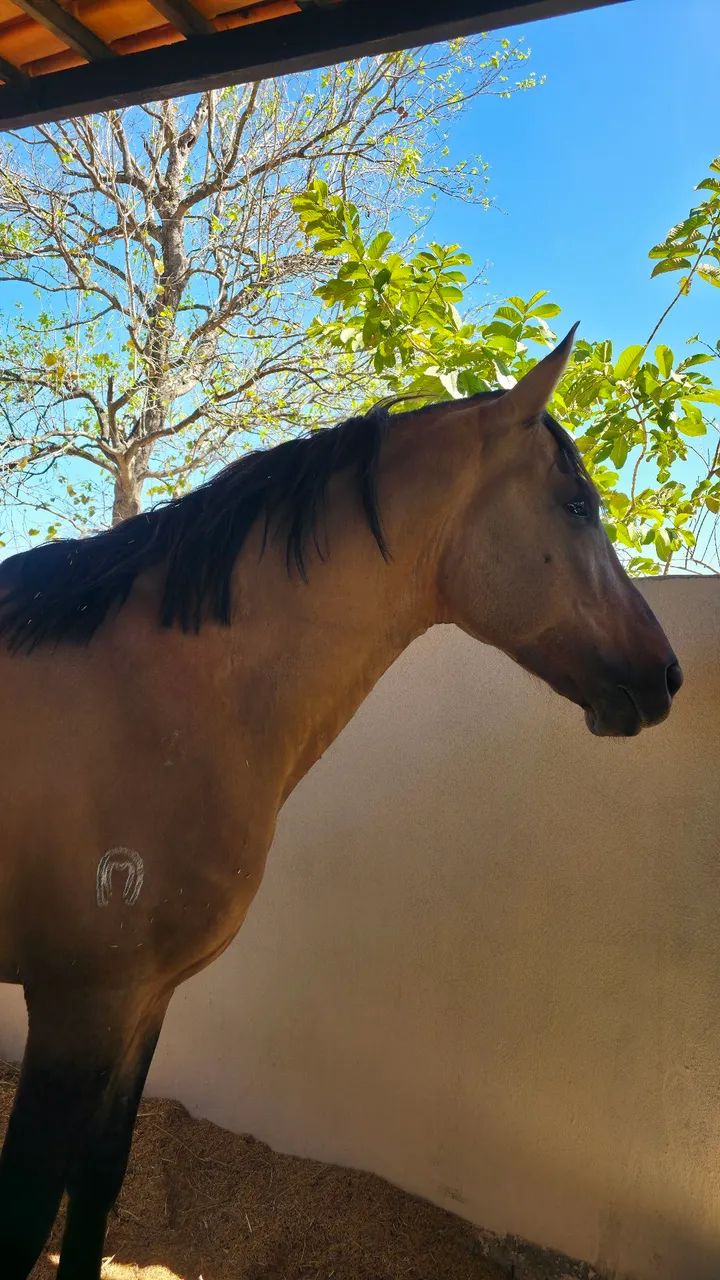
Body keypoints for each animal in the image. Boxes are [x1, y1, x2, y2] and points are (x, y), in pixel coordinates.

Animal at [0, 327, 682, 1278]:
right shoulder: (78, 1009)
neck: (155, 698)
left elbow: (100, 1181)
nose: (668, 676)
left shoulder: (143, 1003)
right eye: (578, 506)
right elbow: (24, 1222)